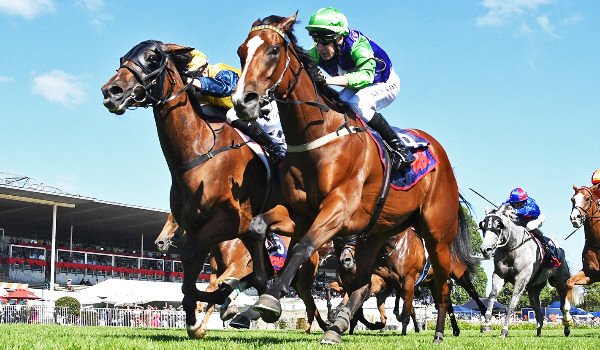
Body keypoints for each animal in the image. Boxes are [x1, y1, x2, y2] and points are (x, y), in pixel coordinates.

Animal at [102, 41, 290, 340]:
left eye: (153, 57)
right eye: (123, 59)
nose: (112, 91)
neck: (198, 152)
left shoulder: (228, 222)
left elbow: (196, 265)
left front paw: (209, 306)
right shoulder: (198, 228)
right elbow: (191, 272)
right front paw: (195, 318)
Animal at [151, 212, 328, 334]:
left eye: (175, 220)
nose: (159, 242)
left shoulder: (238, 268)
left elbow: (212, 289)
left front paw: (199, 311)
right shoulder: (218, 272)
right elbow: (214, 291)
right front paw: (203, 324)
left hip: (302, 282)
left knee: (310, 305)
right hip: (294, 282)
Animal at [234, 14, 464, 344]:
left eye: (274, 50)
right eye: (242, 52)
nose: (244, 101)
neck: (319, 137)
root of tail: (439, 152)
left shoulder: (338, 210)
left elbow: (303, 247)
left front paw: (269, 300)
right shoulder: (301, 212)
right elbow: (256, 226)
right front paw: (260, 288)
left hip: (437, 233)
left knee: (442, 283)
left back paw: (439, 333)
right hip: (377, 232)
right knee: (364, 281)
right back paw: (337, 326)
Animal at [478, 204, 572, 338]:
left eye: (498, 226)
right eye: (483, 226)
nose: (485, 249)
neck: (512, 248)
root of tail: (559, 248)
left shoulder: (521, 278)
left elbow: (512, 303)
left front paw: (504, 330)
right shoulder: (499, 275)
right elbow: (492, 296)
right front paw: (486, 324)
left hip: (560, 280)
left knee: (563, 303)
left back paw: (567, 327)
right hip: (534, 289)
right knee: (538, 311)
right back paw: (538, 332)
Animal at [564, 185, 600, 326]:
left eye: (587, 198)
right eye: (572, 199)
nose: (575, 218)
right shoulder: (591, 274)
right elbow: (569, 282)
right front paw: (567, 318)